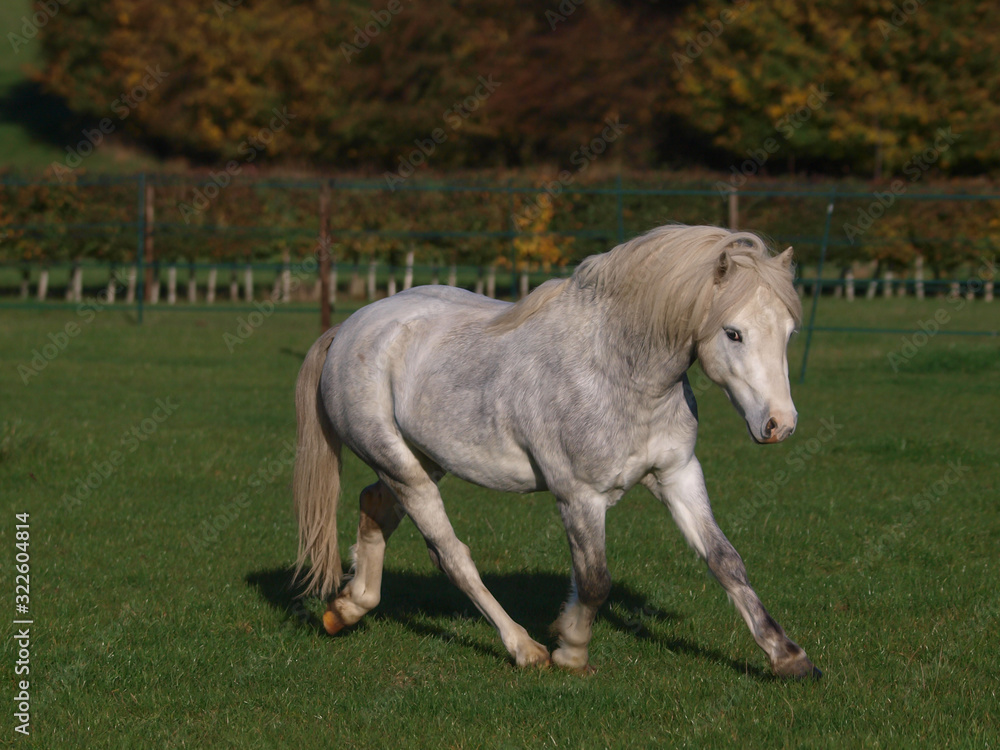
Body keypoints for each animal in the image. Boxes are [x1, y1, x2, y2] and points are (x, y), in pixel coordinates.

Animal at [292, 223, 821, 679]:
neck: (618, 372)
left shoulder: (679, 475)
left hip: (422, 461)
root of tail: (350, 327)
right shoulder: (579, 497)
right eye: (733, 332)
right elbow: (594, 580)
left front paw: (788, 657)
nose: (780, 424)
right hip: (406, 472)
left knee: (374, 506)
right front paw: (571, 650)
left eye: (788, 332)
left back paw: (348, 607)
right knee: (452, 556)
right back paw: (524, 648)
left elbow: (725, 560)